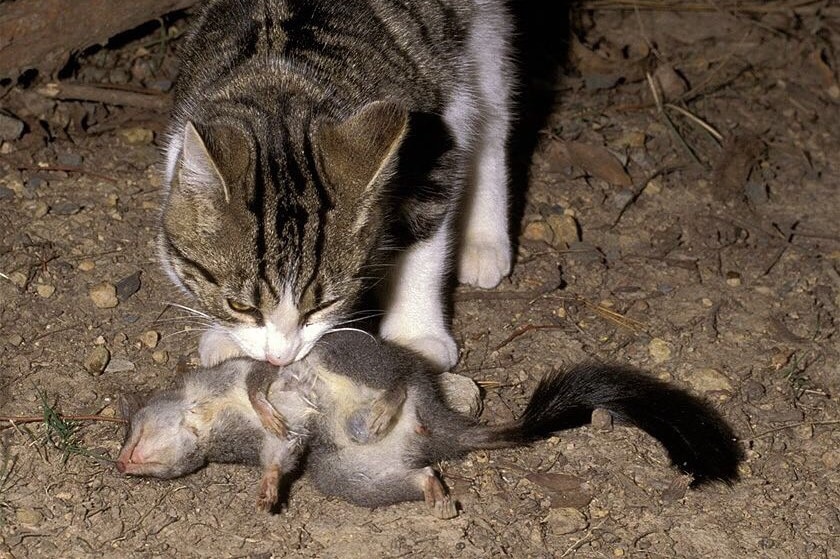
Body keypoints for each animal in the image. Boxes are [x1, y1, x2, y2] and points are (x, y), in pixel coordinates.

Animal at [159, 1, 512, 372]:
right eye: (240, 306)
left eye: (323, 305)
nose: (279, 358)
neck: (278, 78)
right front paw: (225, 335)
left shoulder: (431, 147)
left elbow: (422, 245)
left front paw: (415, 338)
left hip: (482, 34)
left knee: (492, 121)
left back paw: (485, 242)